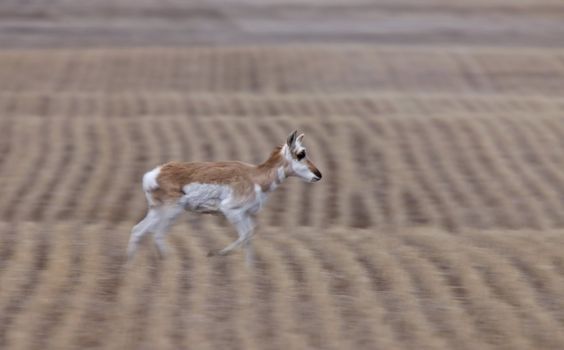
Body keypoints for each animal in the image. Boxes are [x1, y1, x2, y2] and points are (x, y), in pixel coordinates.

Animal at [128, 130, 322, 264]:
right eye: (301, 154)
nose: (319, 175)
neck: (255, 177)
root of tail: (154, 174)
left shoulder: (245, 215)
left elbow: (250, 236)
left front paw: (250, 270)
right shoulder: (232, 211)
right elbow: (244, 236)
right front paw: (214, 253)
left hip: (158, 211)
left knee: (138, 230)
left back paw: (130, 266)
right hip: (172, 212)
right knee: (157, 235)